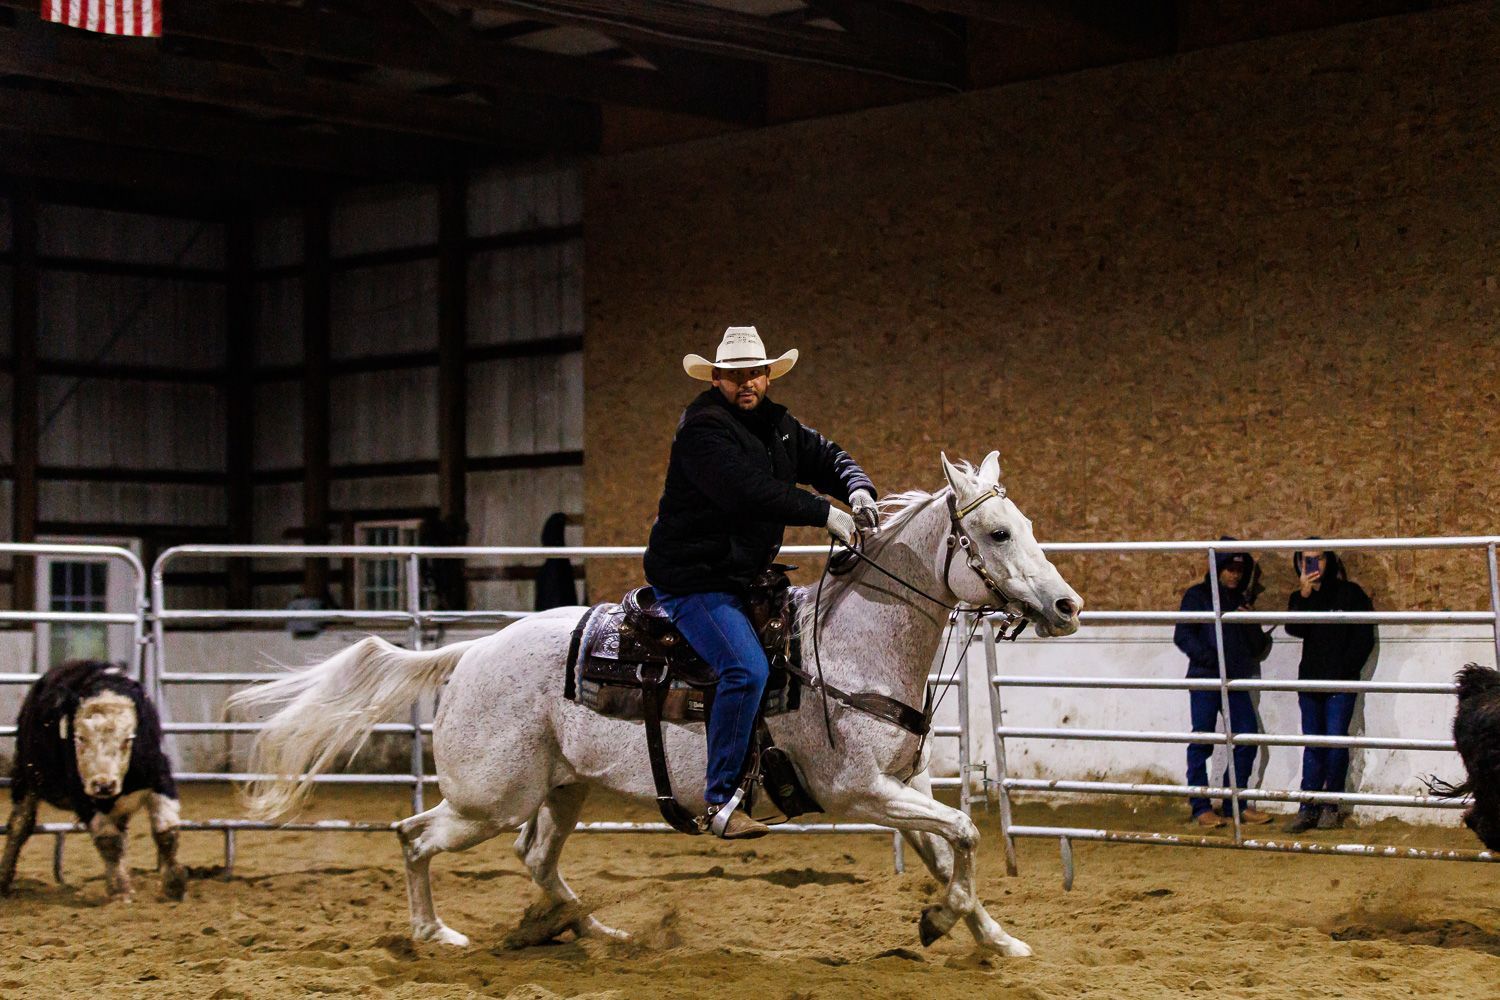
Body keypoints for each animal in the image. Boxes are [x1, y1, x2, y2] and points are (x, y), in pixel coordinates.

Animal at [227, 451, 1083, 956]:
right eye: (998, 533)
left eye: (1025, 524)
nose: (1068, 606)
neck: (849, 647)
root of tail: (470, 652)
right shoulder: (860, 791)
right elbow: (964, 833)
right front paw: (947, 922)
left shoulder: (906, 785)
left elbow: (948, 847)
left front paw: (994, 937)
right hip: (491, 798)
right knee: (414, 836)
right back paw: (436, 933)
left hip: (561, 790)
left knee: (535, 858)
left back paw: (592, 927)